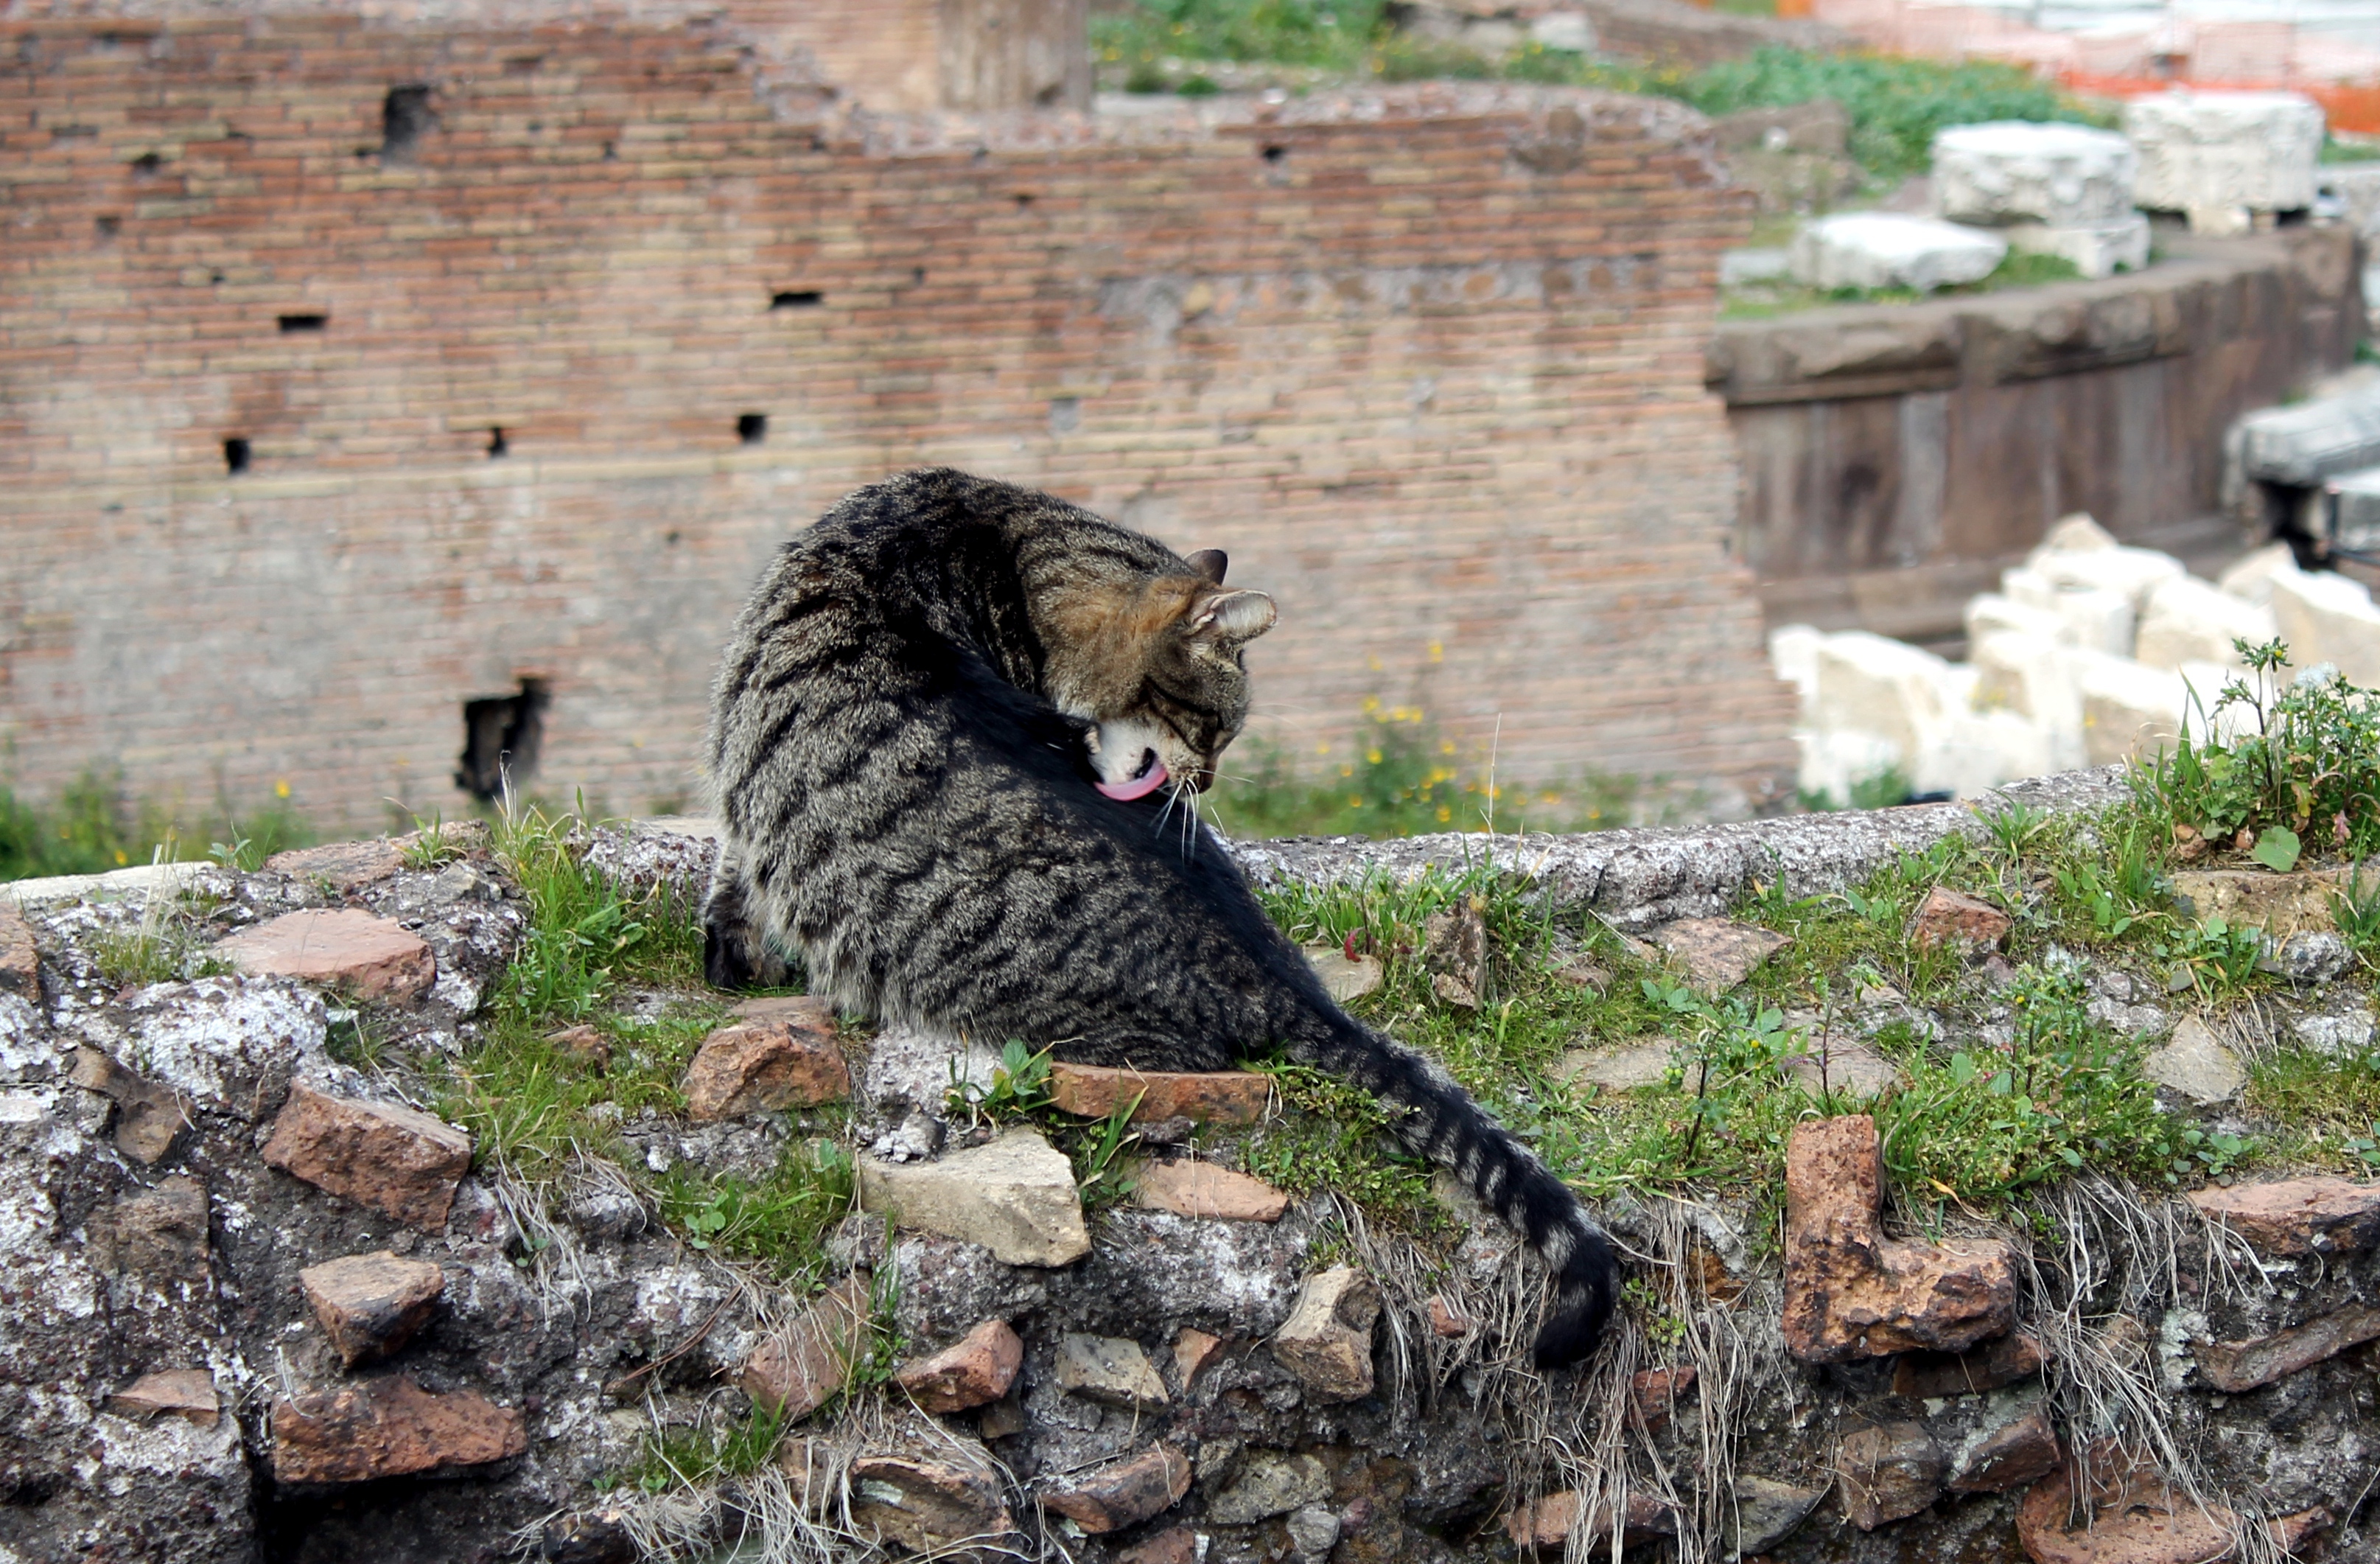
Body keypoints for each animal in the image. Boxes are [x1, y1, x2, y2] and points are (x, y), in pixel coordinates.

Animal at [695, 467, 1618, 1371]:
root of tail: (1281, 982)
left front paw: (733, 953)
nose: (1204, 783)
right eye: (1213, 725)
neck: (993, 538)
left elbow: (736, 874)